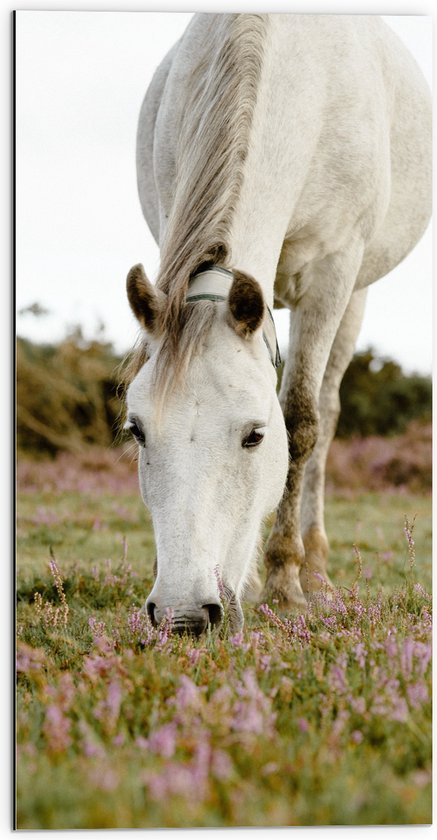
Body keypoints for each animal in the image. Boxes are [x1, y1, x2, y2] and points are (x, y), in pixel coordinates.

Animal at [123, 13, 430, 632]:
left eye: (255, 436)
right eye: (137, 430)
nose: (183, 614)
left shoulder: (333, 272)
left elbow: (304, 422)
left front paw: (285, 581)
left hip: (354, 294)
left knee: (327, 413)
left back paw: (314, 569)